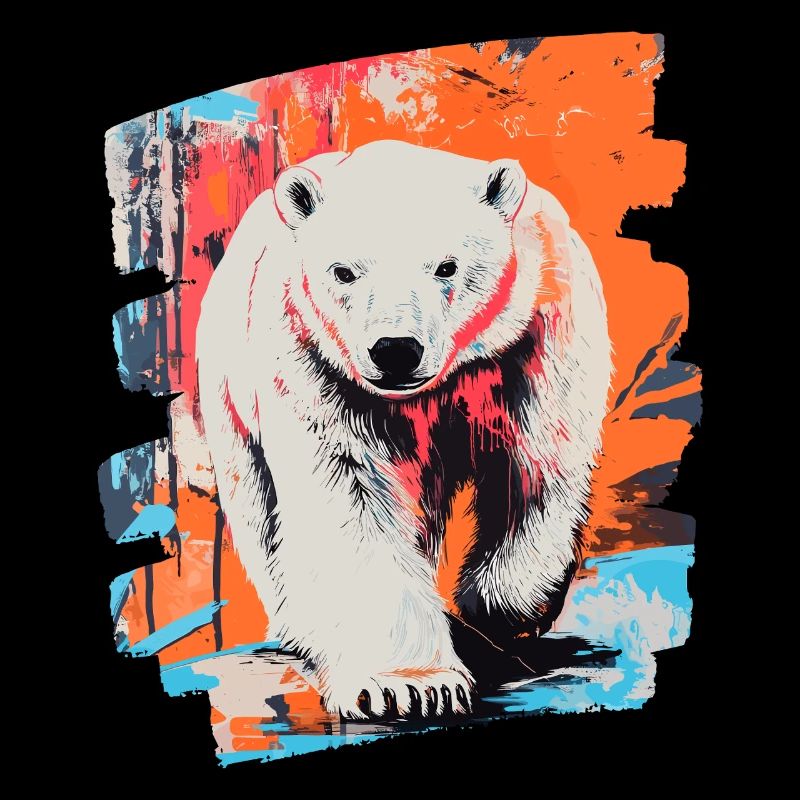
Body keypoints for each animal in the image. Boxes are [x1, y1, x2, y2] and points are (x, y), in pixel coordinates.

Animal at [196, 140, 612, 719]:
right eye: (344, 271)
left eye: (447, 266)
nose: (395, 350)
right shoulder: (314, 359)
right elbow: (352, 497)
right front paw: (410, 686)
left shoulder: (537, 332)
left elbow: (537, 466)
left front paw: (500, 607)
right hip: (229, 390)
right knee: (258, 509)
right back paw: (300, 625)